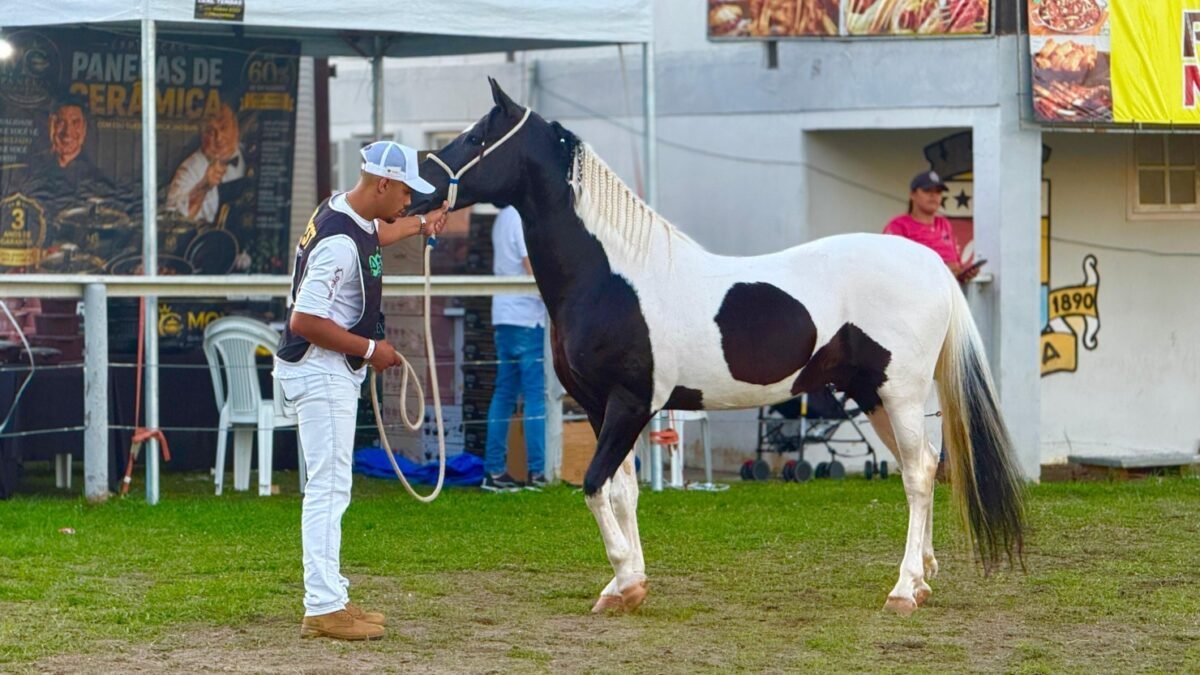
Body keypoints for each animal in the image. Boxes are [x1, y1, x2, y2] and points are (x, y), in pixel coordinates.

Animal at [410, 79, 1026, 616]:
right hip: (873, 396)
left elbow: (593, 486)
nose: (421, 184)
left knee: (919, 475)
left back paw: (902, 591)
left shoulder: (630, 403)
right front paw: (625, 585)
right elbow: (623, 491)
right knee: (924, 466)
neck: (611, 275)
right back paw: (921, 579)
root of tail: (931, 264)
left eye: (476, 138)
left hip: (899, 393)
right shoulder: (602, 406)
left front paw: (624, 581)